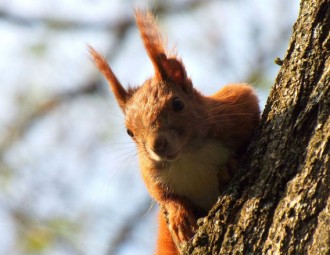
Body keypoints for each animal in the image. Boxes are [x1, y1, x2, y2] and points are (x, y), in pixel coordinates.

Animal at [89, 8, 260, 254]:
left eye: (177, 104)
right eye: (129, 132)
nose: (157, 145)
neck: (188, 155)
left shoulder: (235, 105)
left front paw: (229, 165)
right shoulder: (150, 170)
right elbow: (162, 196)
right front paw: (179, 214)